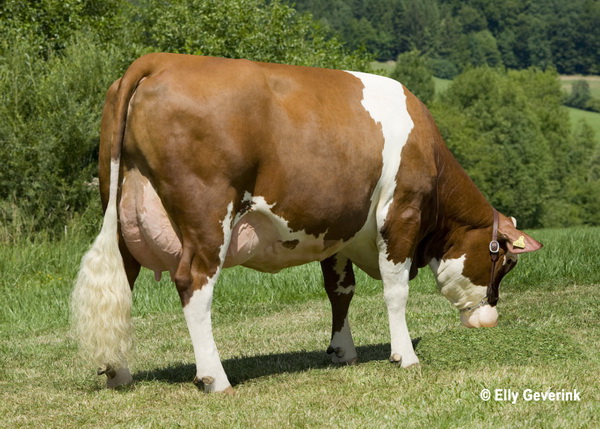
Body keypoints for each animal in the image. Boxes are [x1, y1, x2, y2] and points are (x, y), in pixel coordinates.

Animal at [72, 52, 540, 392]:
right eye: (506, 262)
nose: (490, 317)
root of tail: (160, 59)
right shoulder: (400, 214)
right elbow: (395, 291)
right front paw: (404, 355)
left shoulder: (337, 232)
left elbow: (340, 291)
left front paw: (343, 351)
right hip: (207, 217)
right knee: (193, 284)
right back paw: (215, 378)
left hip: (121, 215)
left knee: (122, 282)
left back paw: (118, 373)